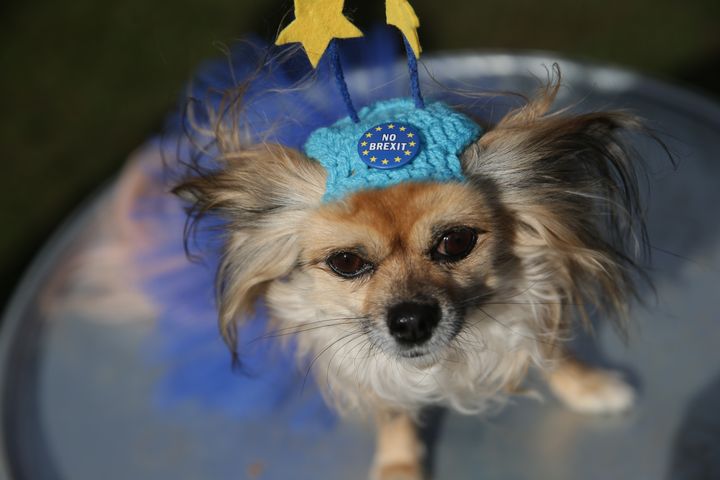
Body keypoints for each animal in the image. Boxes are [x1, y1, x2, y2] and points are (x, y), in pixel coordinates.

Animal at [173, 72, 648, 480]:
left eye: (456, 242)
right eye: (346, 262)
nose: (411, 321)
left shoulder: (538, 293)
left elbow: (552, 351)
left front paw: (587, 385)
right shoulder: (370, 368)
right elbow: (393, 412)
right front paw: (398, 466)